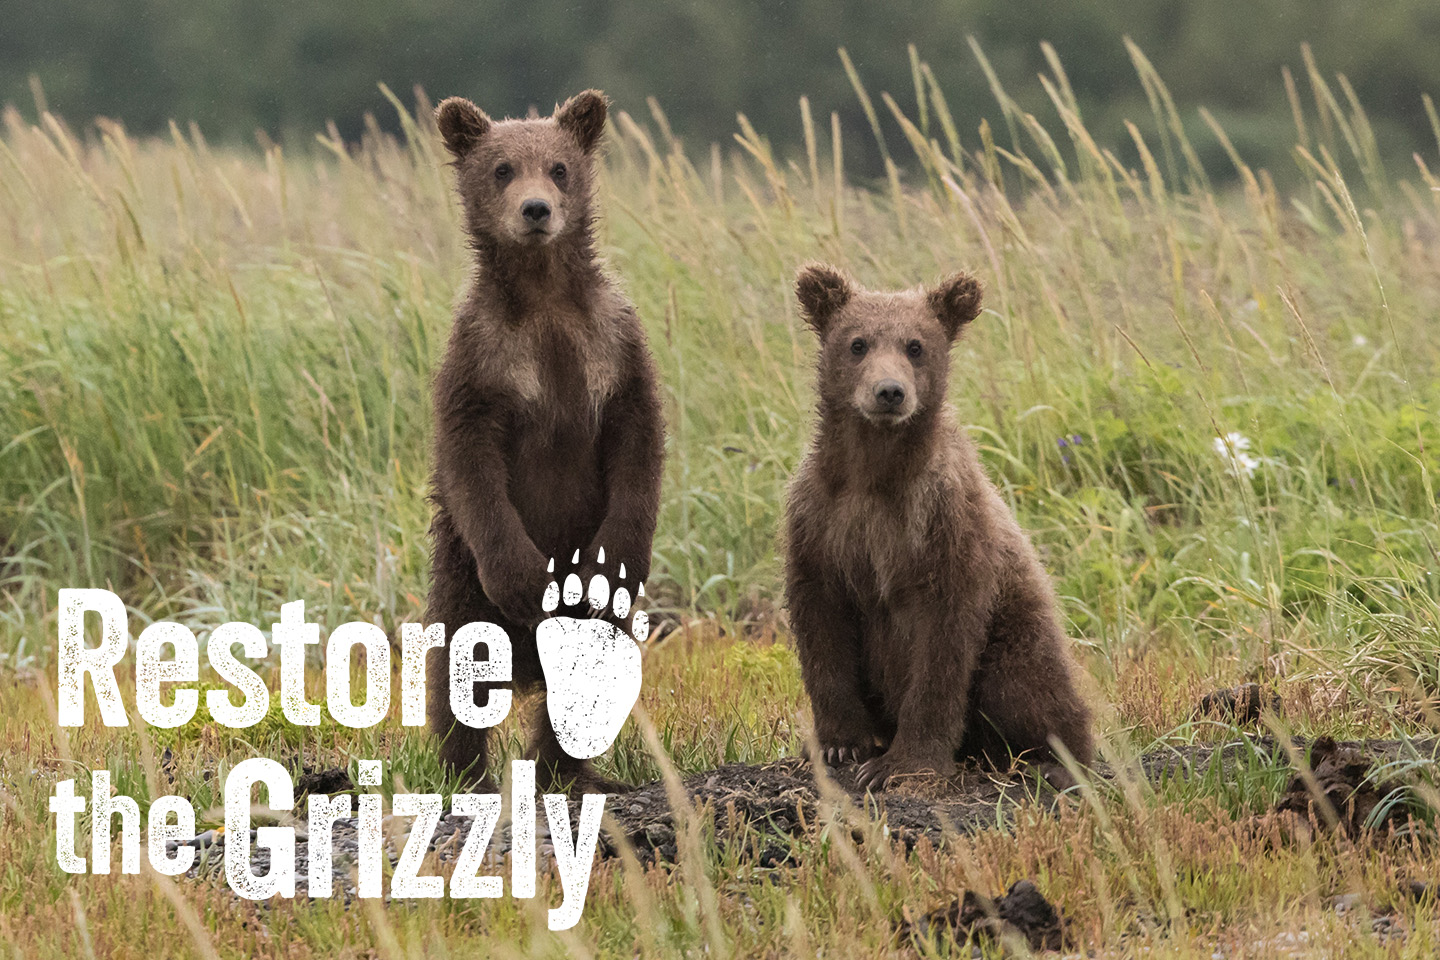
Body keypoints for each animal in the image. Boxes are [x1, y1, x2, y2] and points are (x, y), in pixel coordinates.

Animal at [425, 89, 664, 791]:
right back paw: (464, 774)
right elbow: (472, 462)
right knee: (460, 666)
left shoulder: (613, 347)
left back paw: (567, 772)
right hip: (459, 577)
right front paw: (528, 578)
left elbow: (638, 446)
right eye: (502, 168)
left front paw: (613, 558)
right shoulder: (482, 359)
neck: (543, 296)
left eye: (558, 167)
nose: (536, 209)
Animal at [783, 263, 1094, 790]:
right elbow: (822, 628)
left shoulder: (944, 524)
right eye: (858, 343)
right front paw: (840, 744)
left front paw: (901, 764)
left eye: (915, 345)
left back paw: (1056, 759)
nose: (889, 391)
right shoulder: (821, 521)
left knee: (1030, 687)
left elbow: (942, 649)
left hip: (1018, 631)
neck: (875, 474)